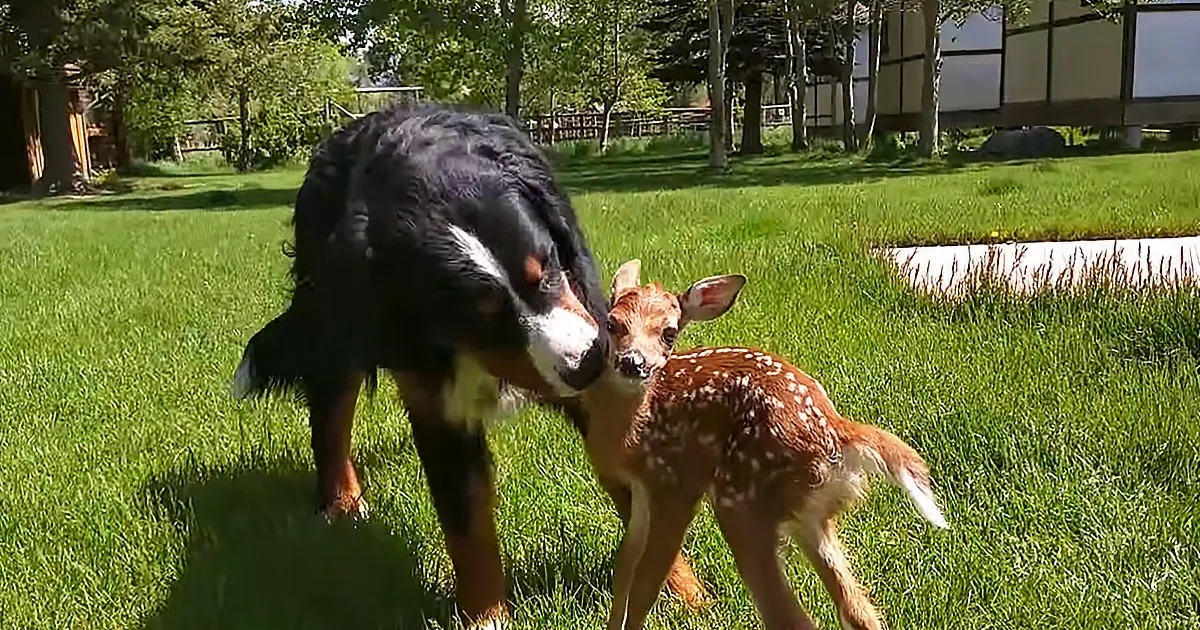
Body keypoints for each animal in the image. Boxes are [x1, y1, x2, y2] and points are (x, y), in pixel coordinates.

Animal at [579, 259, 950, 630]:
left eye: (669, 333)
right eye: (612, 323)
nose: (632, 362)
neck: (635, 428)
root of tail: (837, 430)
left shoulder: (674, 484)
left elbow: (645, 581)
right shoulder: (642, 491)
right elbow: (625, 569)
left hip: (744, 500)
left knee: (791, 617)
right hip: (810, 515)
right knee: (859, 611)